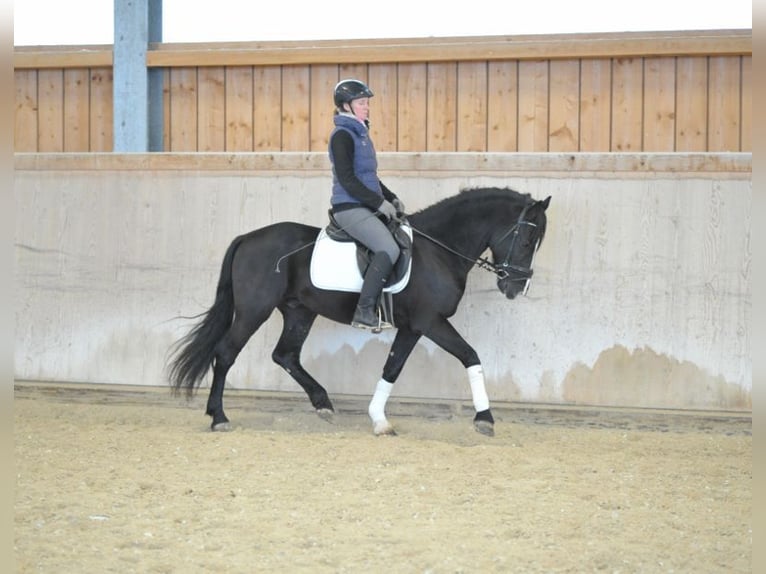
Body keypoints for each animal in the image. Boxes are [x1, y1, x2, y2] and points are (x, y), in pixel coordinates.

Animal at [168, 189, 552, 436]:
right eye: (526, 240)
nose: (516, 288)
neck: (438, 250)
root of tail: (247, 238)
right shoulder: (430, 321)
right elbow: (470, 356)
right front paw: (485, 417)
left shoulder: (413, 327)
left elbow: (392, 368)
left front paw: (379, 419)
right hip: (254, 311)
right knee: (225, 353)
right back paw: (218, 416)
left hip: (299, 311)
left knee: (285, 355)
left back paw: (323, 404)